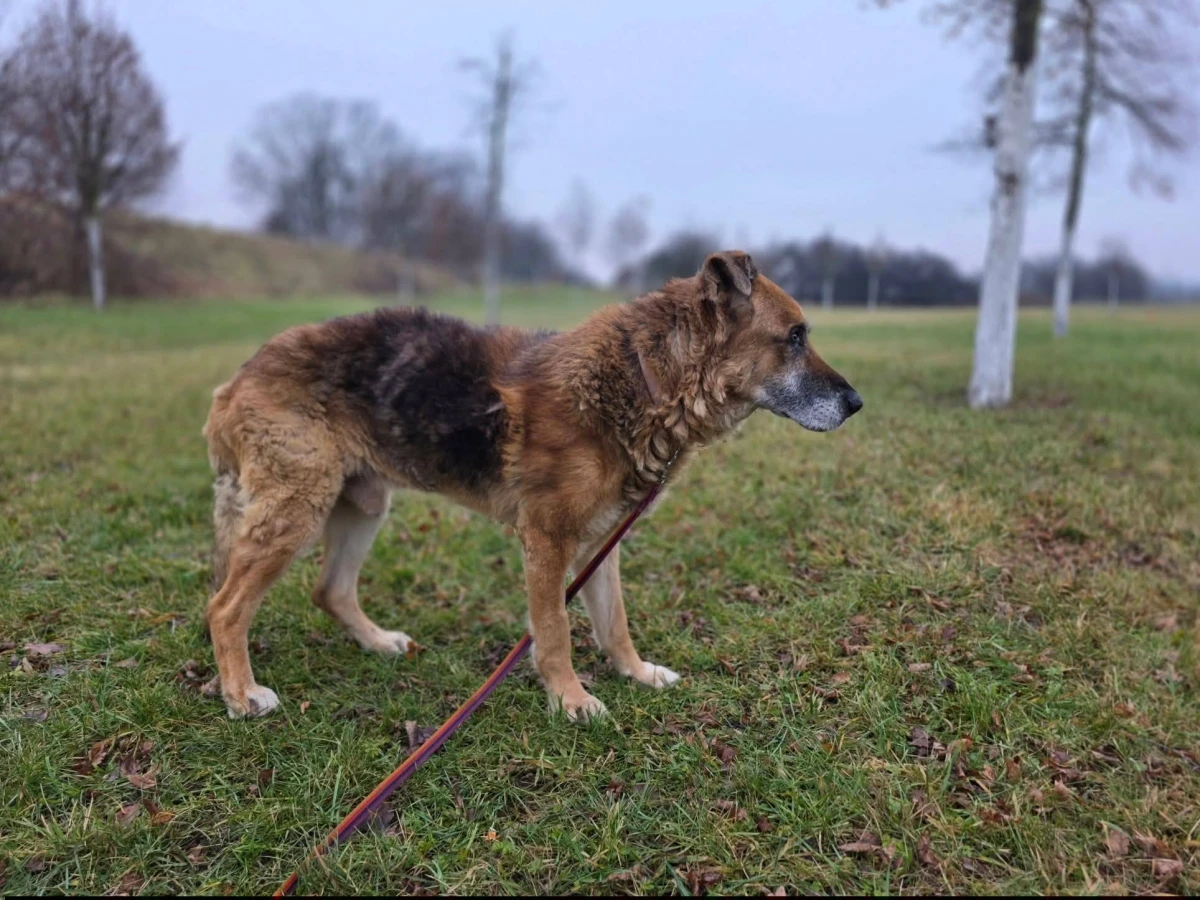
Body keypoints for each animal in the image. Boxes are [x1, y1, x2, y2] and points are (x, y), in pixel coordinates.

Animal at [202, 251, 862, 721]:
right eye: (795, 337)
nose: (857, 404)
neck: (647, 381)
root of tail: (236, 378)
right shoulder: (547, 541)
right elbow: (555, 631)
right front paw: (570, 699)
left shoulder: (601, 544)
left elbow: (614, 622)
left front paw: (636, 673)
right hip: (297, 511)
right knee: (225, 606)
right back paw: (241, 693)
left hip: (362, 505)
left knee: (330, 590)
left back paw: (376, 642)